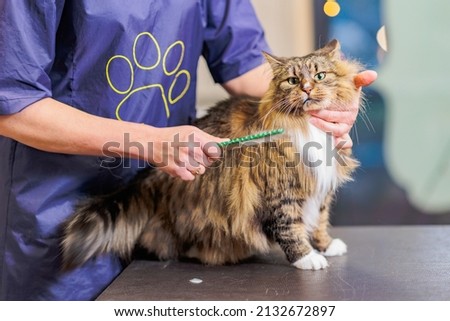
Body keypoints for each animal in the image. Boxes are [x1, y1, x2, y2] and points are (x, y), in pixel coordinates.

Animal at [60, 39, 362, 270]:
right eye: (293, 80)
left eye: (320, 76)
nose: (307, 88)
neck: (308, 126)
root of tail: (150, 178)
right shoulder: (281, 191)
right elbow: (291, 229)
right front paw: (308, 259)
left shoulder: (321, 187)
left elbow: (320, 221)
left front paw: (326, 246)